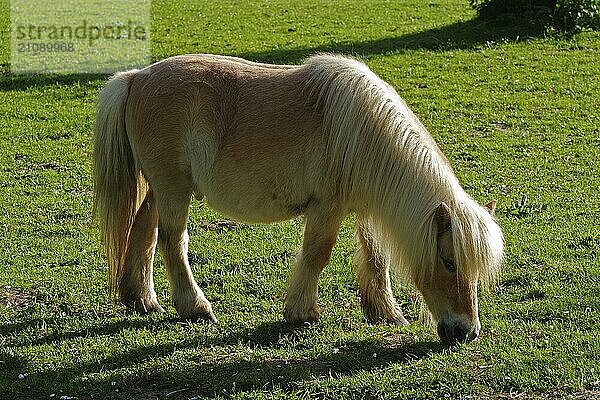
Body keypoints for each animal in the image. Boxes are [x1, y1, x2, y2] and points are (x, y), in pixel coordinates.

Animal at [94, 53, 504, 344]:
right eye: (449, 263)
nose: (466, 332)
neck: (359, 131)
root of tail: (136, 78)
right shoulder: (327, 208)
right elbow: (317, 254)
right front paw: (301, 312)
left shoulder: (365, 209)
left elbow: (376, 257)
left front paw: (385, 312)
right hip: (173, 191)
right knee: (172, 242)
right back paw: (194, 307)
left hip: (160, 191)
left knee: (143, 232)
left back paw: (141, 299)